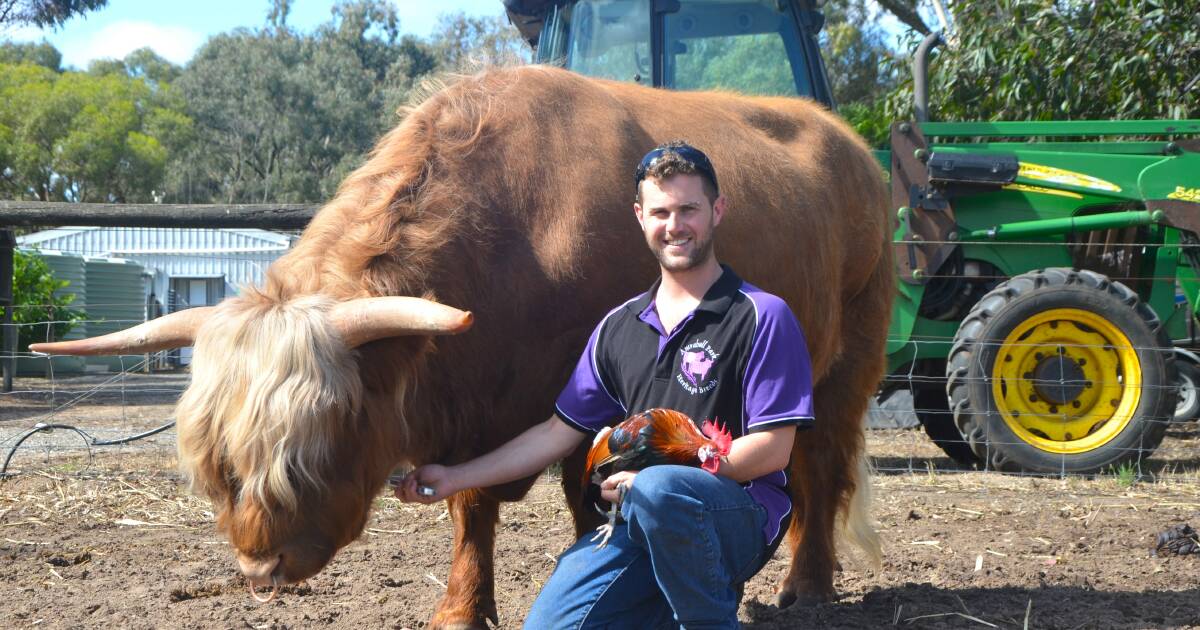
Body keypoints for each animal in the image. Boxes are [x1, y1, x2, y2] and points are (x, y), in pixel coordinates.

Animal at [32, 66, 892, 624]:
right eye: (219, 464)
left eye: (322, 441)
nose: (258, 566)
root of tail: (847, 139)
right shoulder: (484, 416)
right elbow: (471, 510)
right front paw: (461, 608)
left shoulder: (587, 410)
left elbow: (590, 501)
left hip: (847, 357)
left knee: (819, 465)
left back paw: (809, 586)